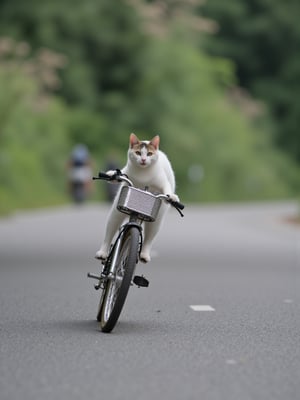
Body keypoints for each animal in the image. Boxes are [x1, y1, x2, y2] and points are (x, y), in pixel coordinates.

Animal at [95, 133, 180, 264]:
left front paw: (172, 196)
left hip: (157, 220)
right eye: (138, 153)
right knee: (110, 228)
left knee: (149, 237)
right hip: (116, 213)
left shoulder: (163, 181)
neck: (143, 174)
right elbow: (119, 172)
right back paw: (103, 252)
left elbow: (166, 188)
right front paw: (111, 174)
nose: (143, 159)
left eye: (149, 153)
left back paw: (144, 254)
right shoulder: (126, 172)